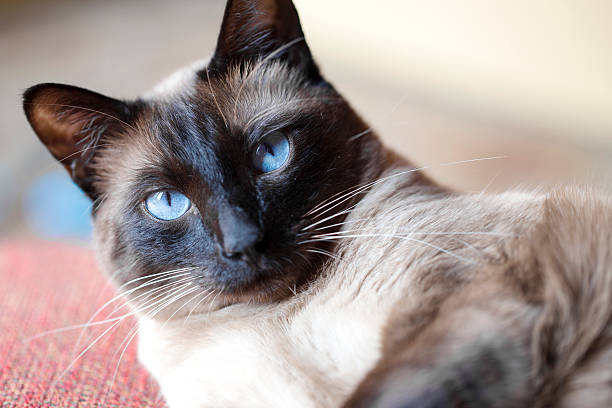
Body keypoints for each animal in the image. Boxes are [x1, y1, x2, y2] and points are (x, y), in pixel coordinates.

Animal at [22, 0, 612, 408]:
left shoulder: (478, 296)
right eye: (167, 202)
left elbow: (386, 393)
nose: (243, 242)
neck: (276, 323)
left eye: (270, 155)